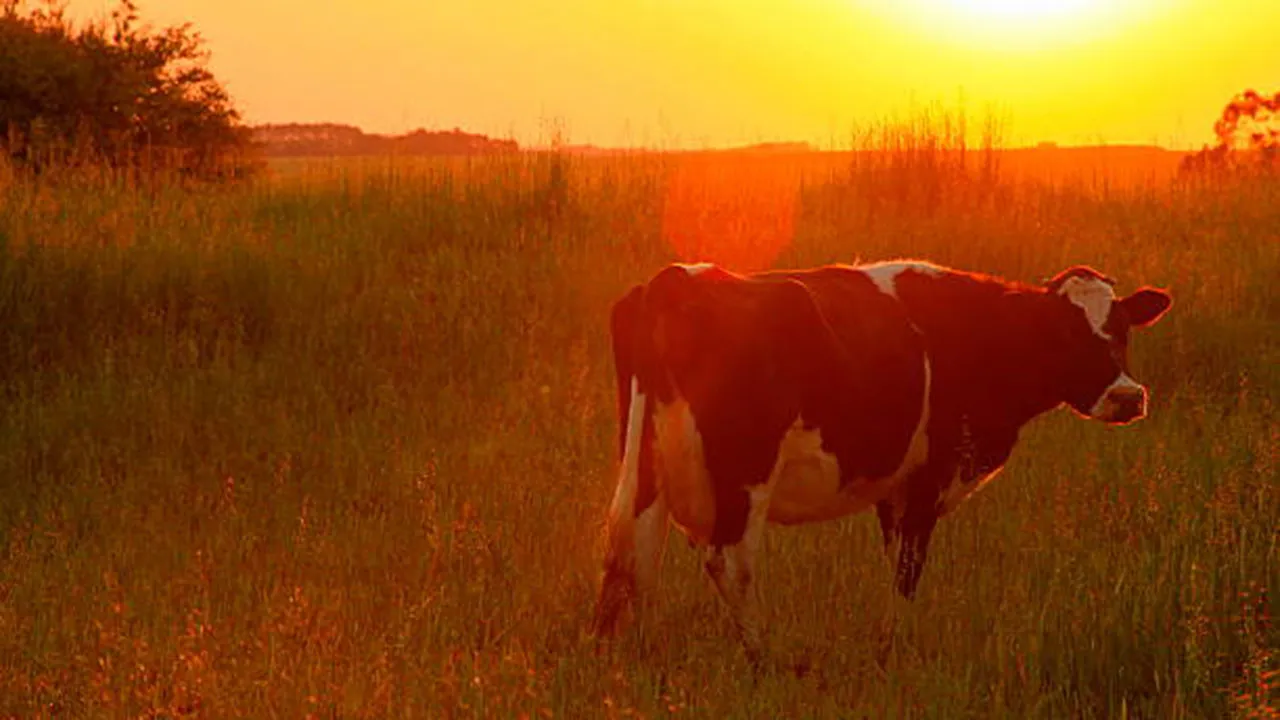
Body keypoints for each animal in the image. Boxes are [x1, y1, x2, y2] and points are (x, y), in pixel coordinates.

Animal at [588, 256, 1172, 661]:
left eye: (1123, 329)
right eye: (1063, 331)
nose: (1127, 396)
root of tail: (679, 277)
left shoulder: (895, 489)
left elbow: (895, 564)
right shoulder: (928, 479)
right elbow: (908, 571)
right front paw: (897, 646)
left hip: (645, 465)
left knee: (631, 554)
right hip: (745, 473)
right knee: (728, 562)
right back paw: (763, 656)